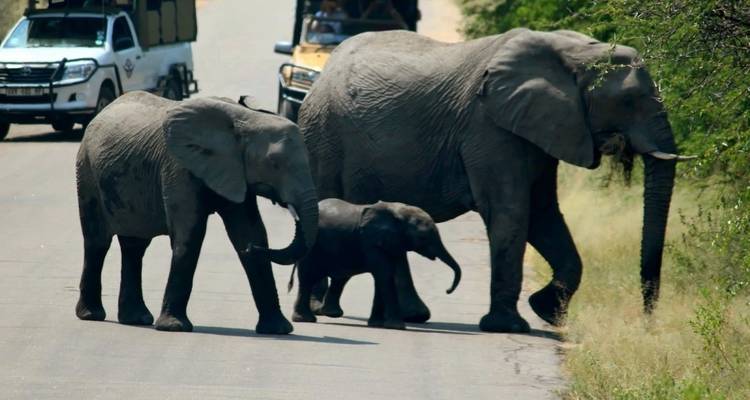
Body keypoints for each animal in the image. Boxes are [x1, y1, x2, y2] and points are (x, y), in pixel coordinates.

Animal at [75, 91, 319, 334]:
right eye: (274, 163)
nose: (251, 249)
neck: (246, 119)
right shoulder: (179, 167)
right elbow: (190, 235)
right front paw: (174, 327)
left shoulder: (236, 173)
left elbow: (250, 231)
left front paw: (278, 329)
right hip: (86, 173)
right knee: (97, 242)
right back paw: (91, 315)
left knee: (135, 247)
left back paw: (136, 319)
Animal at [288, 198, 462, 330]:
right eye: (423, 237)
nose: (447, 290)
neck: (400, 212)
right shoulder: (371, 242)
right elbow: (384, 275)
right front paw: (397, 327)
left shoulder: (393, 243)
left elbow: (383, 277)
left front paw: (377, 325)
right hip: (311, 247)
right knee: (307, 278)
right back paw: (305, 319)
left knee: (339, 278)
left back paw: (330, 314)